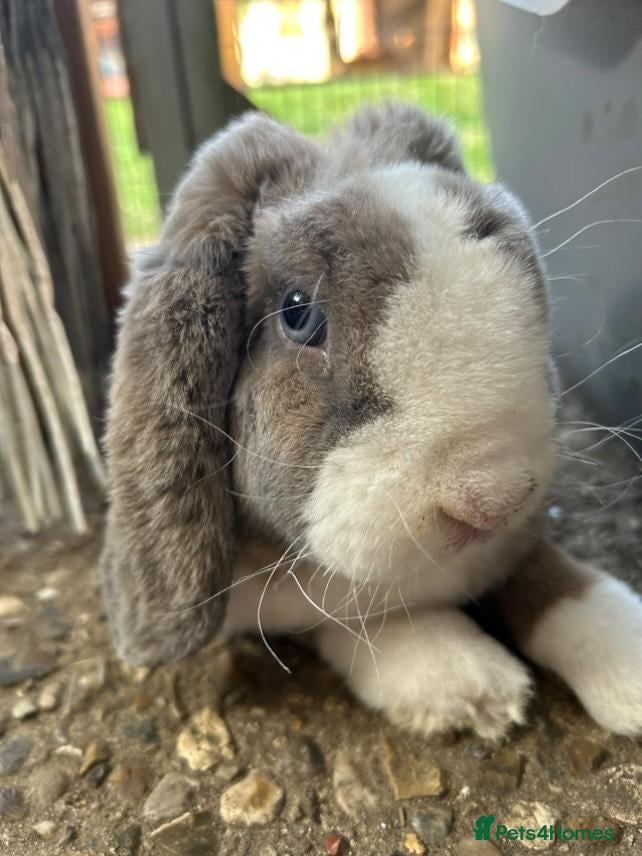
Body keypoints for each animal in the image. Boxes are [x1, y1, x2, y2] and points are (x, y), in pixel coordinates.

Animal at [101, 103, 642, 740]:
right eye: (298, 313)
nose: (493, 501)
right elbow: (349, 620)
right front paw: (470, 683)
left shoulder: (513, 544)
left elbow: (551, 571)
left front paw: (624, 654)